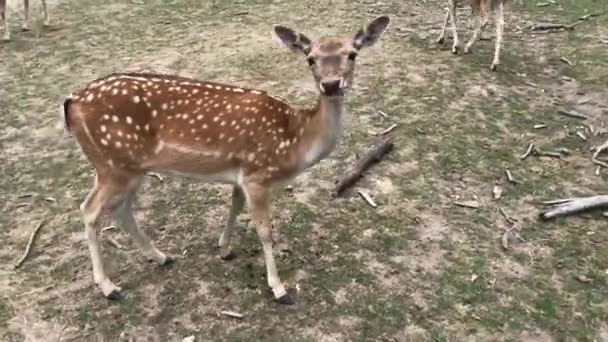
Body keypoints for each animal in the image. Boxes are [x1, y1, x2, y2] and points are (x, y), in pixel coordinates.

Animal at [61, 15, 390, 304]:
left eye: (352, 54)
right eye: (310, 58)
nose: (332, 84)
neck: (294, 140)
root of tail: (71, 102)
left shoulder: (241, 174)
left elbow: (234, 206)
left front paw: (224, 249)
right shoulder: (258, 173)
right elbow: (265, 231)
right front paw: (279, 289)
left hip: (128, 167)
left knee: (119, 209)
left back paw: (161, 257)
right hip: (113, 163)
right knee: (89, 210)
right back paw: (109, 287)